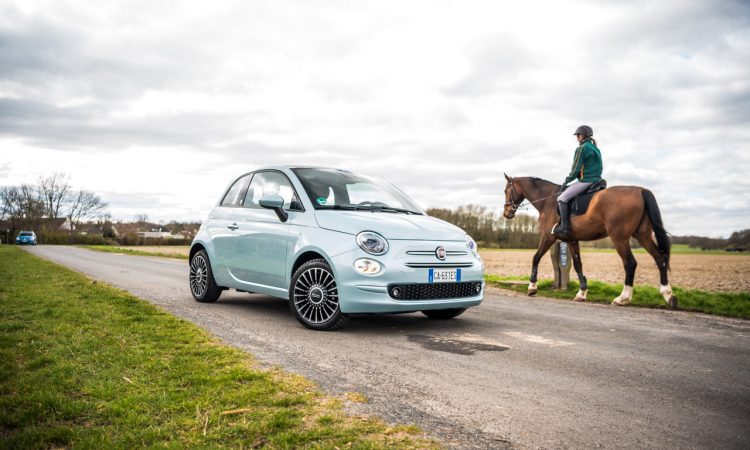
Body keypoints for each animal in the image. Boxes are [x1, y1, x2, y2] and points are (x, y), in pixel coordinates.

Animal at [502, 174, 680, 308]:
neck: (548, 201)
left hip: (619, 237)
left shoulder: (548, 236)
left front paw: (532, 287)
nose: (507, 213)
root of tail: (641, 190)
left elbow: (536, 257)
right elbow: (578, 264)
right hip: (642, 235)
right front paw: (581, 293)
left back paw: (622, 298)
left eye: (506, 190)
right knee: (660, 258)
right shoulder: (572, 240)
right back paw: (668, 295)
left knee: (630, 263)